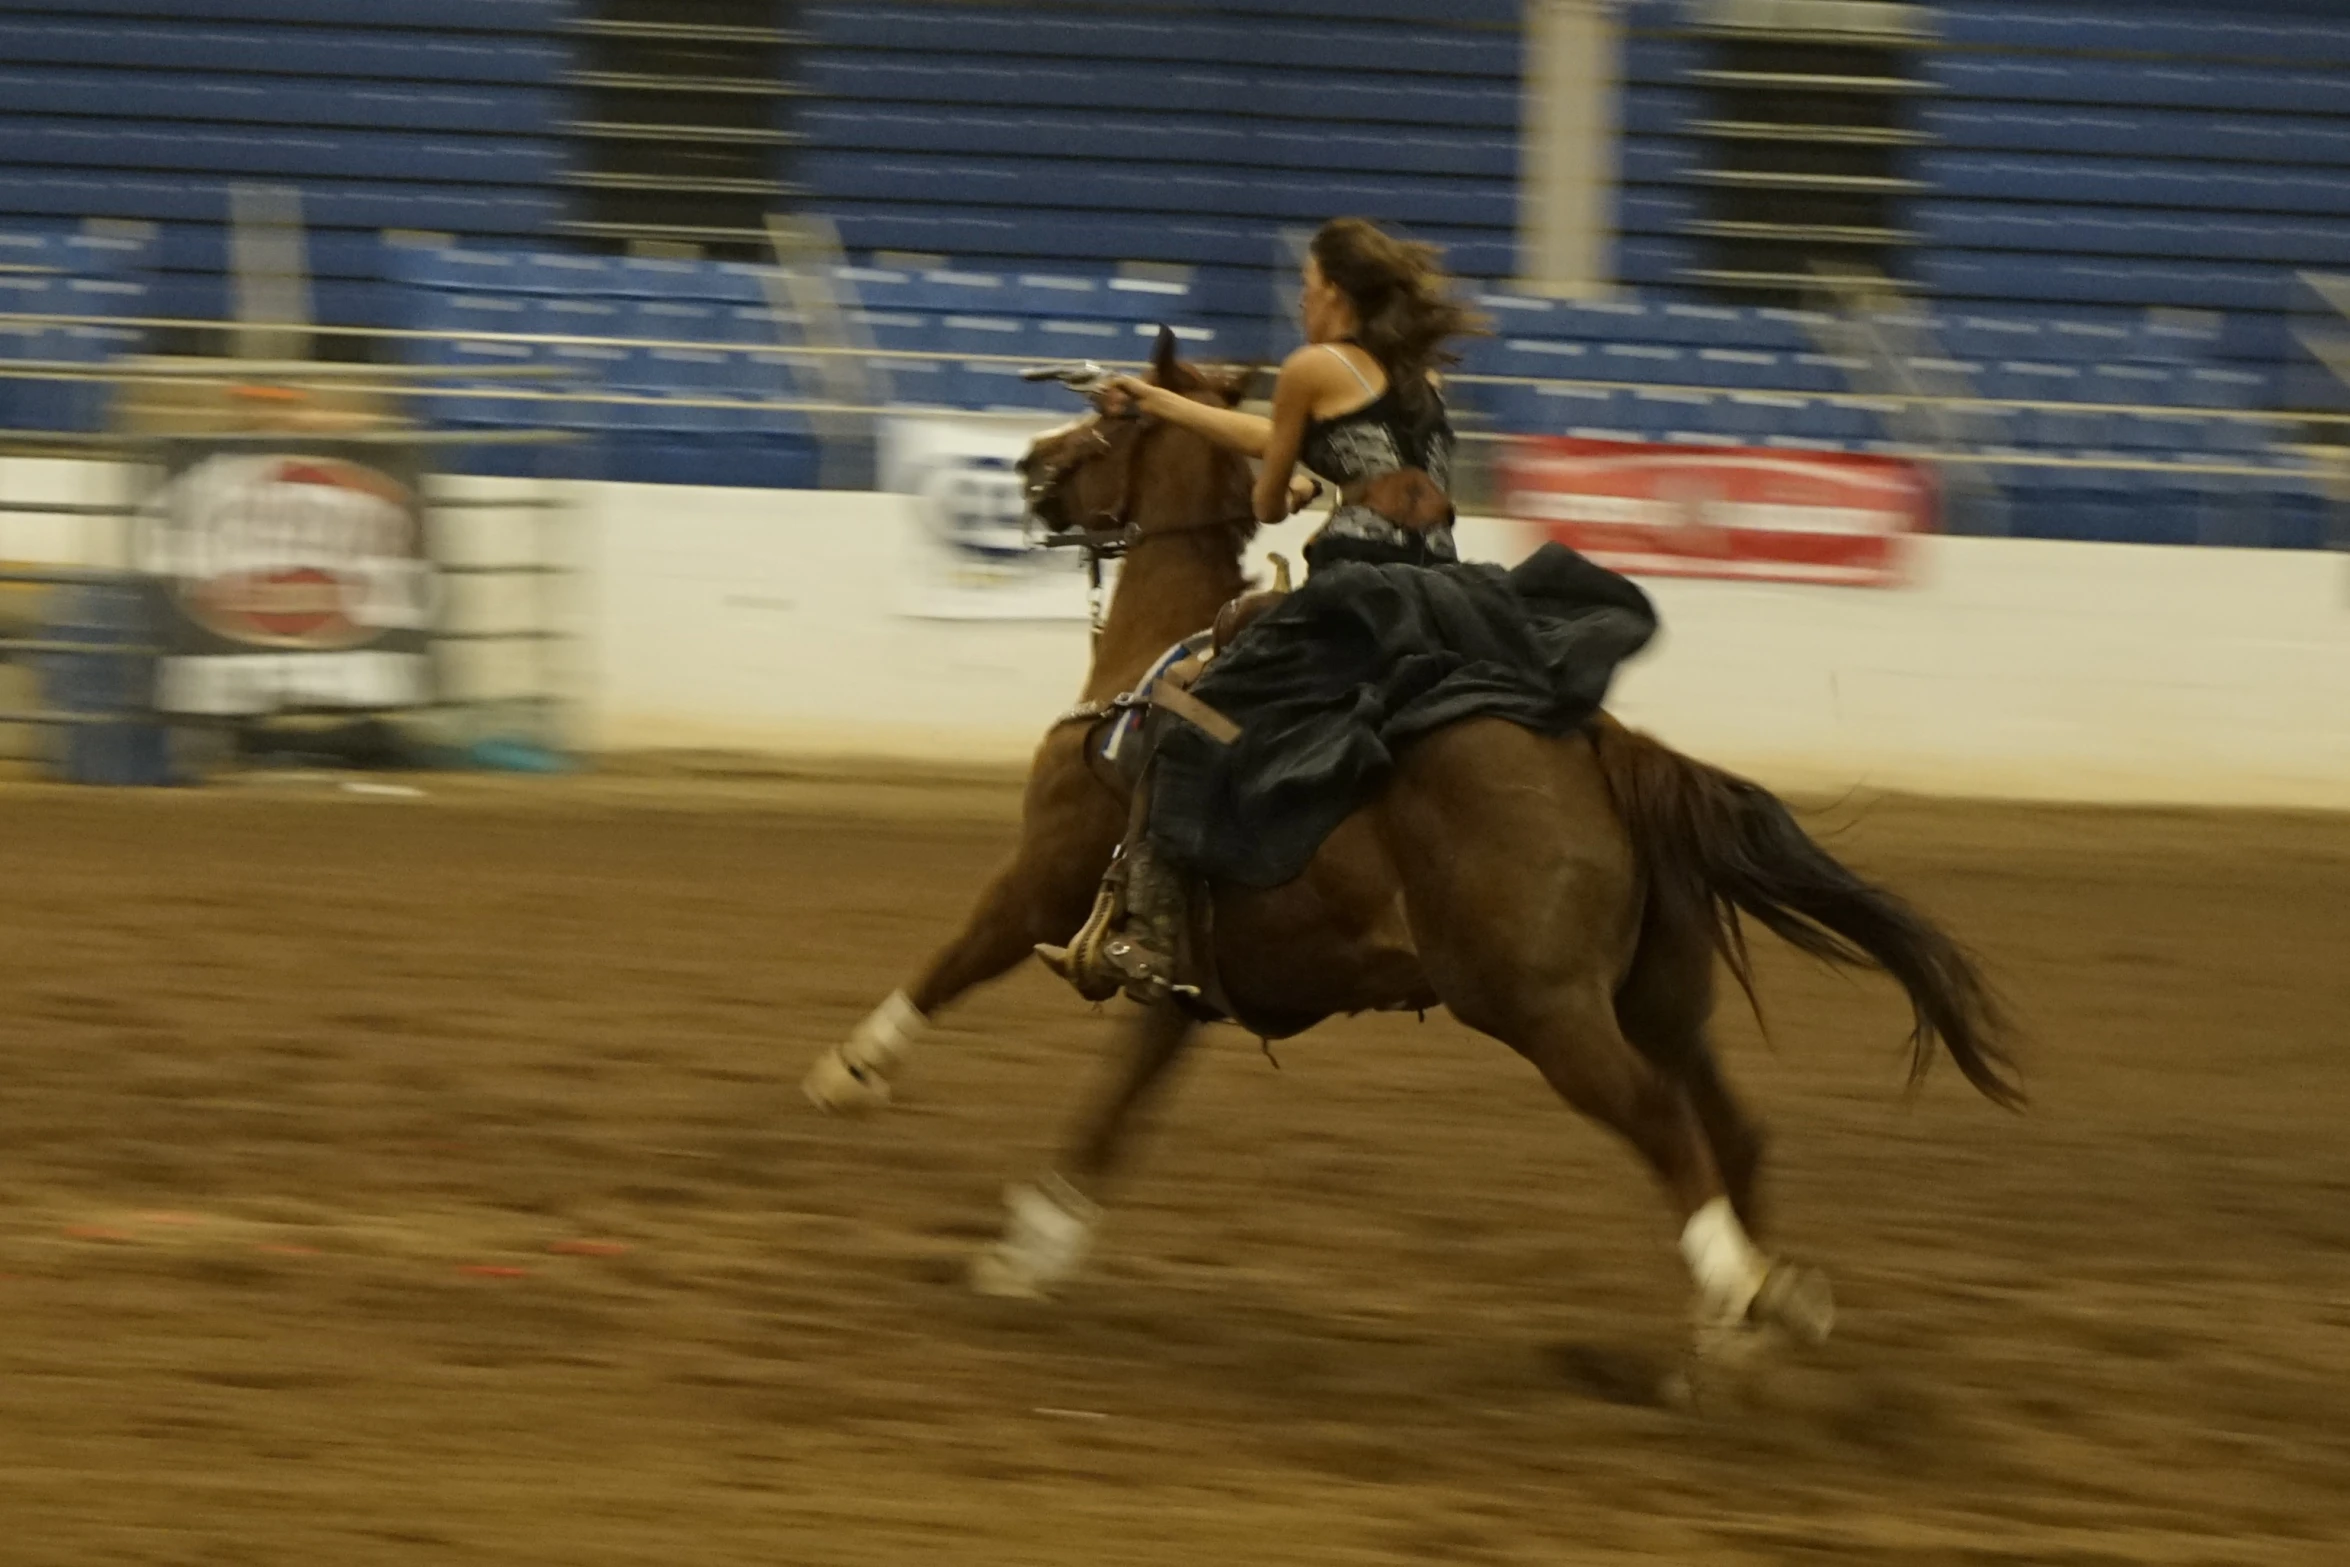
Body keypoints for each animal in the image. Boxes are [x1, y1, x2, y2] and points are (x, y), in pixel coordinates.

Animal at [813, 328, 2020, 1362]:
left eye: (1110, 419)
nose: (1028, 465)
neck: (1150, 668)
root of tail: (1600, 744)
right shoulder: (1188, 980)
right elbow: (1112, 1112)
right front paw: (1027, 1255)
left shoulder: (1046, 876)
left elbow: (956, 958)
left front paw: (850, 1071)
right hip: (1660, 999)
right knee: (1733, 1129)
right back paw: (1739, 1329)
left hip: (1543, 1006)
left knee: (1659, 1120)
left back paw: (1749, 1293)